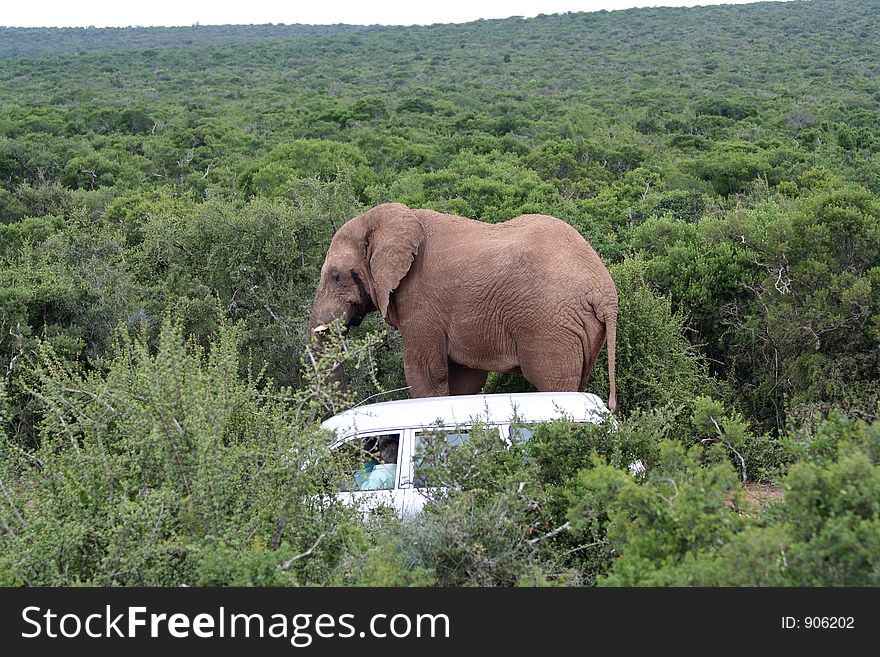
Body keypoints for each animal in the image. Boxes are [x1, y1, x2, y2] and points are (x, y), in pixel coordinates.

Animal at [310, 202, 620, 410]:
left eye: (336, 277)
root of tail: (605, 291)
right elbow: (464, 380)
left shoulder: (421, 301)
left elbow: (425, 374)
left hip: (549, 324)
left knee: (555, 383)